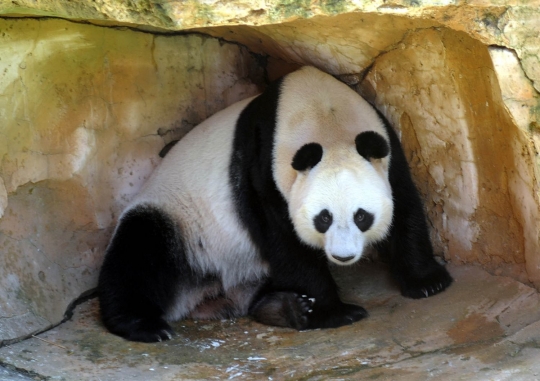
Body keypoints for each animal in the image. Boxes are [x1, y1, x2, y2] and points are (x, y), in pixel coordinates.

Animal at [99, 65, 454, 342]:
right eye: (323, 218)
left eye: (362, 216)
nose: (343, 256)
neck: (325, 117)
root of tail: (207, 295)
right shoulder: (261, 170)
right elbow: (284, 238)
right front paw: (334, 312)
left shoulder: (386, 146)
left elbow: (405, 203)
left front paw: (427, 282)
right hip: (178, 218)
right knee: (139, 251)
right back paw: (145, 325)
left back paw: (281, 308)